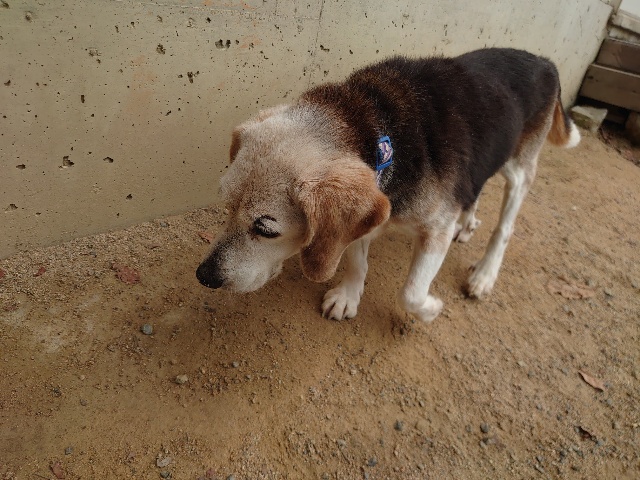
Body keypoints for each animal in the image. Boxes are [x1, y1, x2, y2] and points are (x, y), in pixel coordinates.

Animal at [196, 48, 580, 322]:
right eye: (226, 207)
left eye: (265, 230)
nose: (204, 275)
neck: (377, 127)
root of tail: (545, 62)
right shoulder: (365, 215)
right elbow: (356, 260)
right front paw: (348, 295)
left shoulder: (434, 231)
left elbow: (410, 293)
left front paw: (431, 308)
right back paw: (468, 223)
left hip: (518, 169)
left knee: (505, 227)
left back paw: (485, 274)